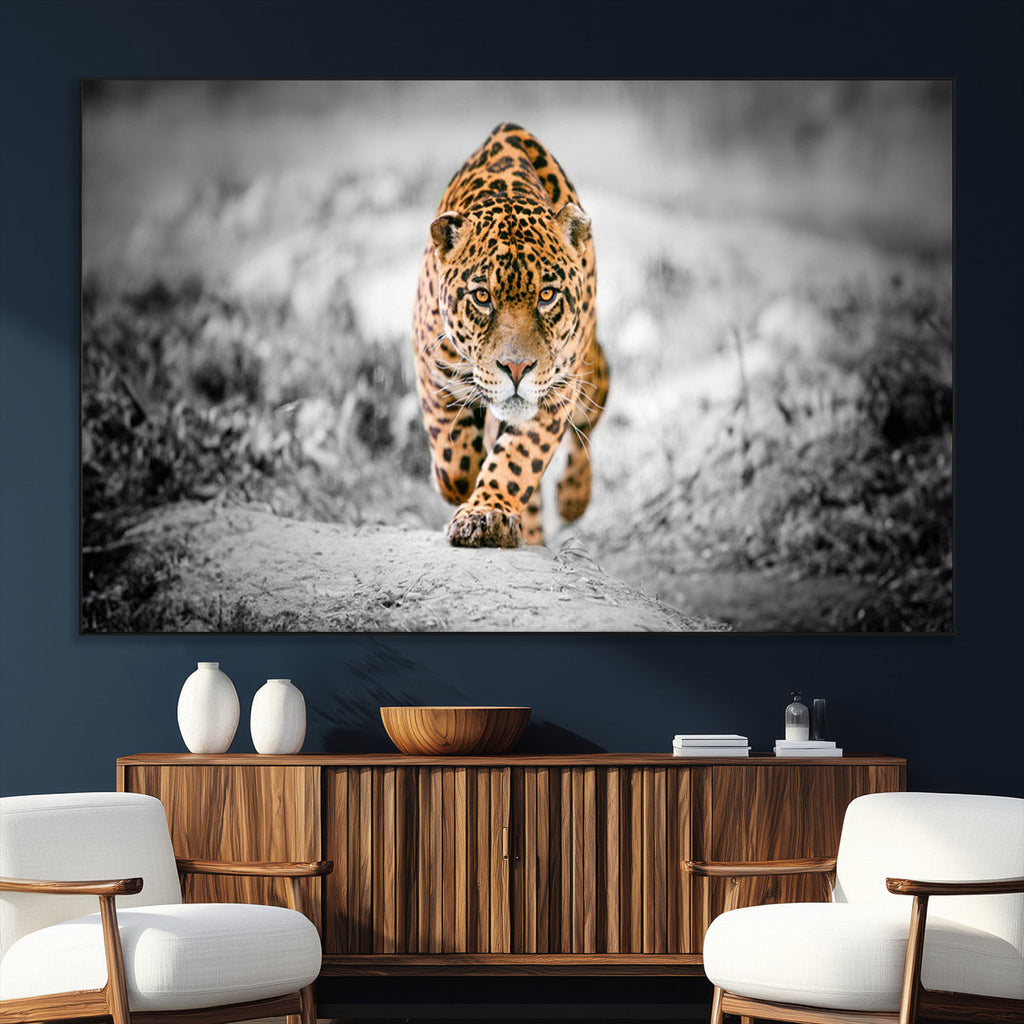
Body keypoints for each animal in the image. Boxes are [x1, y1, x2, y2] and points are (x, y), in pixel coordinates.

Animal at [411, 122, 609, 548]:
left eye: (547, 295)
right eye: (482, 297)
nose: (516, 369)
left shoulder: (557, 390)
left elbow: (518, 460)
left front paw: (485, 514)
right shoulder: (432, 366)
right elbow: (453, 458)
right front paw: (460, 486)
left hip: (591, 375)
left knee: (586, 427)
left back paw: (573, 498)